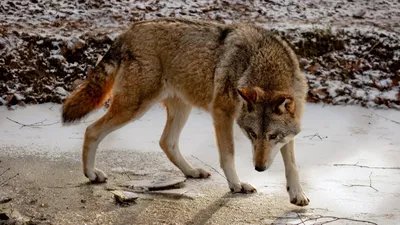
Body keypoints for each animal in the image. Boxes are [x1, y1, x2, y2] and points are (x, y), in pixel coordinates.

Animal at [61, 18, 310, 206]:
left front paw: (297, 194)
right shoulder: (221, 113)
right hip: (134, 109)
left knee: (166, 142)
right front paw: (237, 185)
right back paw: (92, 174)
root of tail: (128, 32)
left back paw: (191, 172)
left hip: (181, 109)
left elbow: (292, 164)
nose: (259, 168)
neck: (263, 65)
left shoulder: (289, 128)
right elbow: (228, 155)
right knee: (91, 130)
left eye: (273, 136)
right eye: (252, 134)